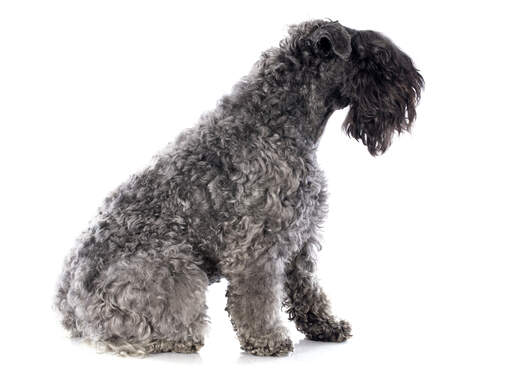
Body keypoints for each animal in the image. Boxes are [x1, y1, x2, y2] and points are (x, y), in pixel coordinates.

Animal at [56, 19, 424, 356]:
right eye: (374, 56)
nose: (414, 84)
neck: (276, 119)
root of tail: (67, 305)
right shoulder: (258, 241)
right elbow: (256, 295)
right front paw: (267, 339)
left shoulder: (301, 234)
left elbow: (307, 287)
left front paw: (324, 325)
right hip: (176, 267)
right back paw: (177, 339)